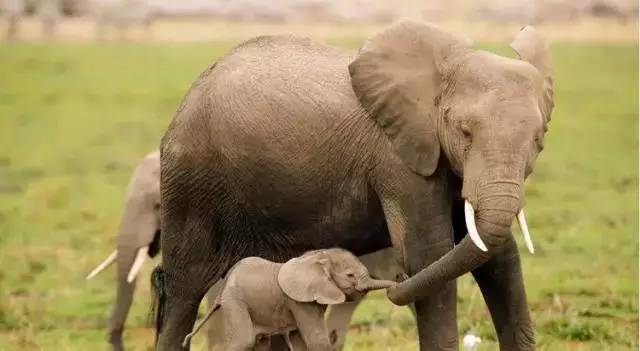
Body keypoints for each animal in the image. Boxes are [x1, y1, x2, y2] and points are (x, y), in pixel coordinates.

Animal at [182, 249, 398, 350]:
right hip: (235, 302)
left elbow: (300, 340)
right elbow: (317, 340)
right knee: (244, 342)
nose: (399, 278)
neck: (317, 256)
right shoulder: (299, 301)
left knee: (261, 343)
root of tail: (224, 285)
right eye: (350, 275)